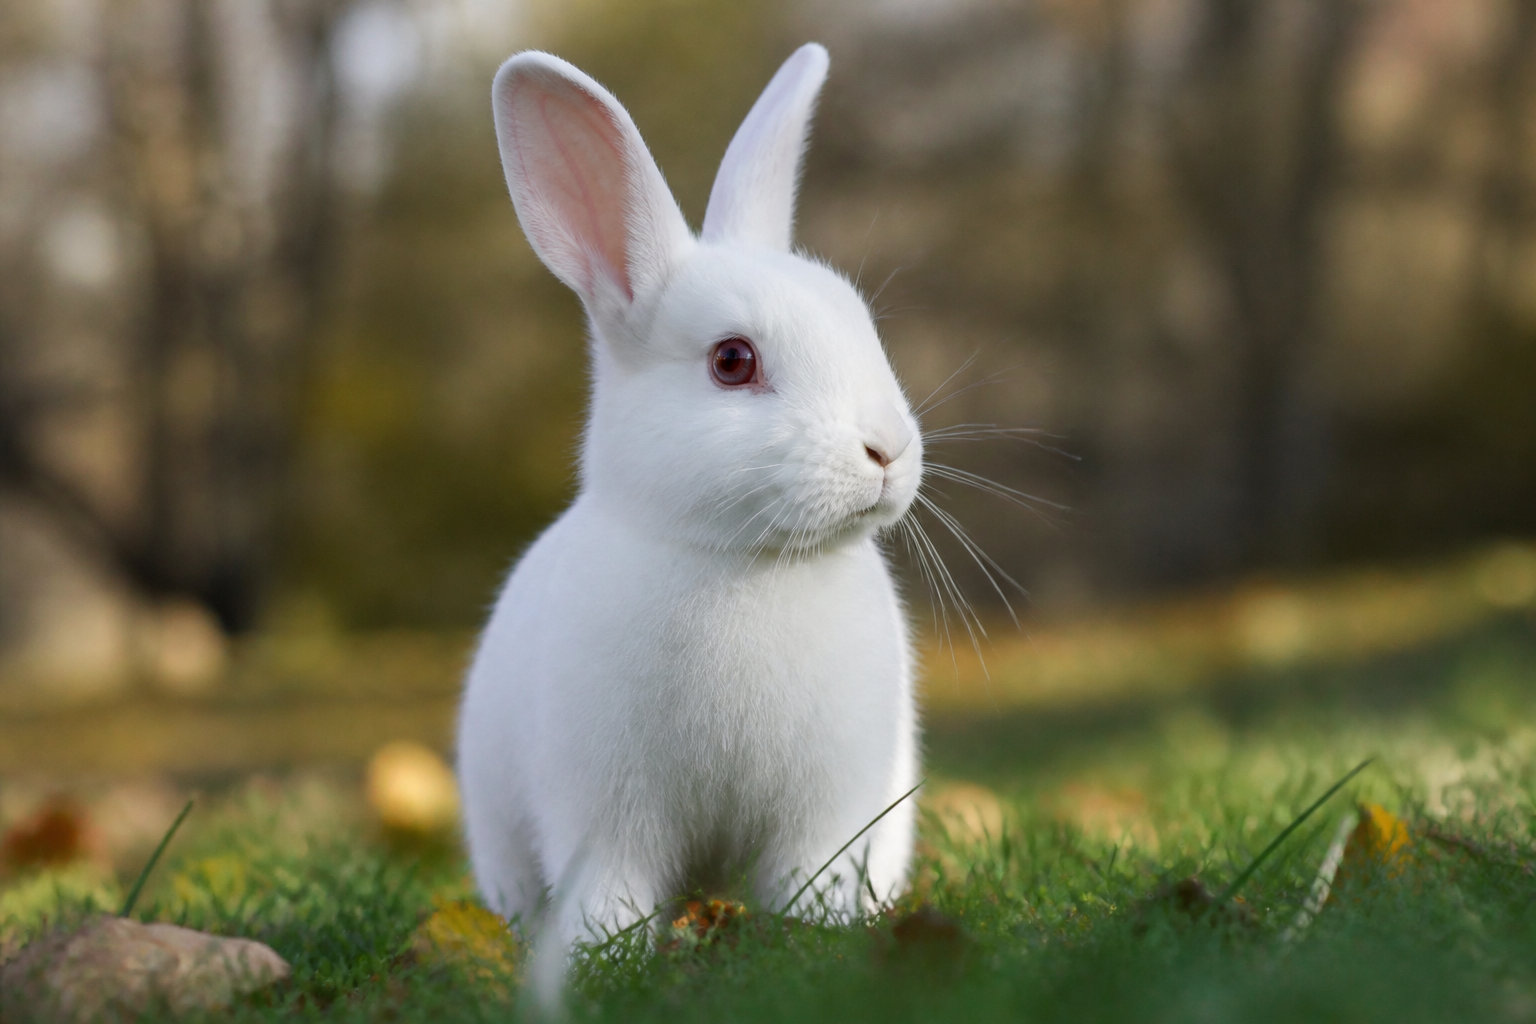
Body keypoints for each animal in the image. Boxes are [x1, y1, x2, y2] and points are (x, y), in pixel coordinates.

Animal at [456, 41, 924, 965]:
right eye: (732, 362)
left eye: (861, 323)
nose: (887, 451)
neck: (744, 561)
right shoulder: (604, 815)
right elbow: (612, 889)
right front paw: (605, 953)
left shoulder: (829, 812)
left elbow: (812, 877)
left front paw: (822, 934)